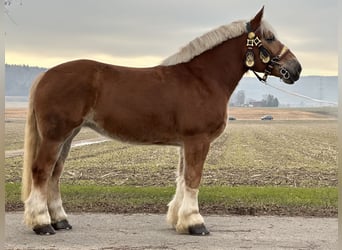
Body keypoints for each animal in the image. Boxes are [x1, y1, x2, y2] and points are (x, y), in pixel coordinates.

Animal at [21, 6, 300, 235]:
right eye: (270, 37)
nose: (296, 69)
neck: (202, 79)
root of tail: (45, 75)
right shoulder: (198, 140)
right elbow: (193, 178)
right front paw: (195, 223)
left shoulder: (186, 143)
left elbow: (182, 178)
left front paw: (179, 220)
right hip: (55, 136)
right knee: (42, 171)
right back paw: (42, 223)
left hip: (68, 136)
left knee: (55, 173)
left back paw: (60, 220)